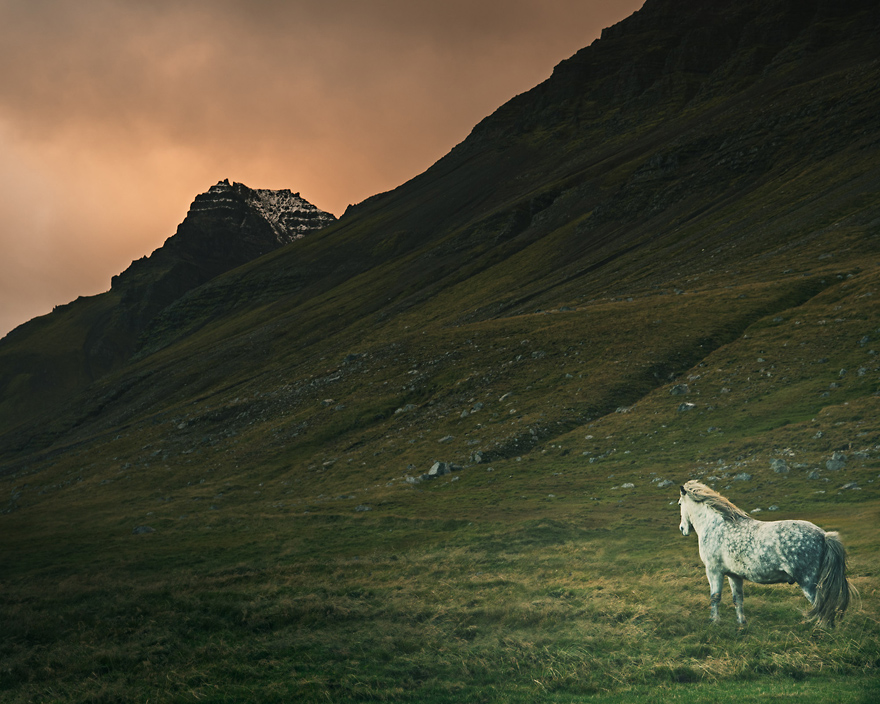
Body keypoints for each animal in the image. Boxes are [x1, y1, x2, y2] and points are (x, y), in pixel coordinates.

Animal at [678, 480, 854, 626]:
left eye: (679, 503)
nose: (682, 528)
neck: (716, 526)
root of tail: (823, 535)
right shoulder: (734, 575)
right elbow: (738, 599)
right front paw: (742, 624)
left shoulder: (714, 571)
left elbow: (715, 597)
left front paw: (714, 622)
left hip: (808, 582)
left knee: (822, 608)